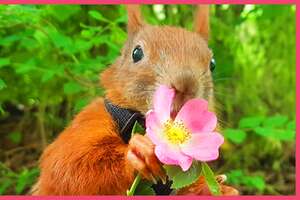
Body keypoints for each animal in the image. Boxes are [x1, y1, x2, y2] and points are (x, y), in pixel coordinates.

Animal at [32, 5, 239, 195]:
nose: (185, 84)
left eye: (212, 64)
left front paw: (218, 188)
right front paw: (137, 152)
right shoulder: (88, 123)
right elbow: (67, 169)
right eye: (136, 53)